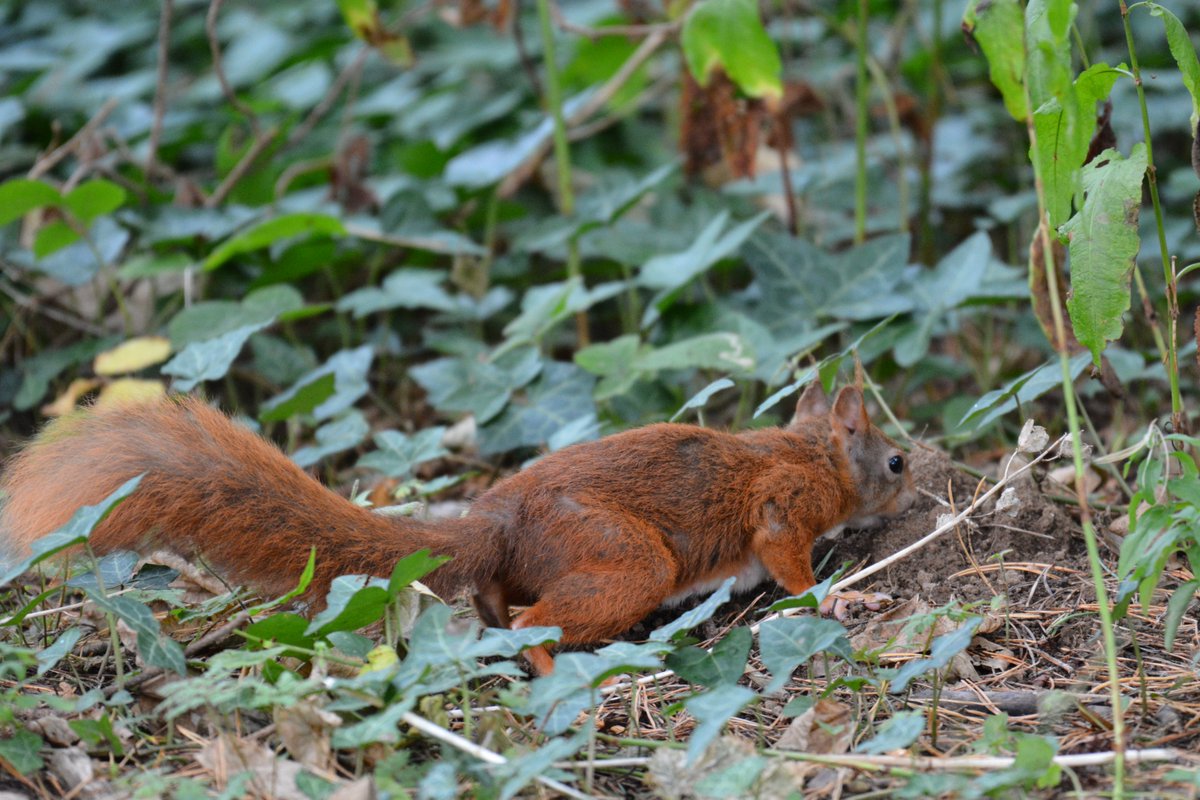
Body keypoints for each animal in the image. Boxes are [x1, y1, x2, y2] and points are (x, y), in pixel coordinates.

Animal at [0, 383, 912, 671]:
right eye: (898, 462)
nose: (923, 486)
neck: (811, 453)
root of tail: (496, 524)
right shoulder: (784, 503)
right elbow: (789, 565)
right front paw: (841, 599)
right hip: (621, 557)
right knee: (536, 619)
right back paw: (556, 672)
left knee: (499, 604)